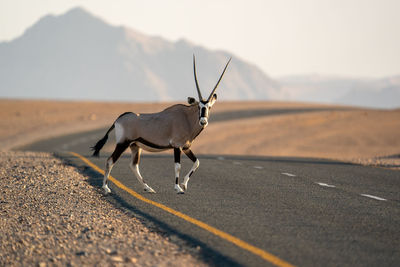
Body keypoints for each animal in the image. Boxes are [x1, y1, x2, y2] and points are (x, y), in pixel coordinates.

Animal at [92, 56, 230, 195]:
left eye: (209, 107)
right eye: (198, 107)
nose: (203, 121)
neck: (187, 118)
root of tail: (118, 118)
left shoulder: (186, 147)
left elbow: (197, 162)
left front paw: (184, 185)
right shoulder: (177, 146)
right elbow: (177, 166)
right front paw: (178, 188)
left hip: (135, 146)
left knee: (133, 165)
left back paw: (148, 188)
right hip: (123, 143)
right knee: (110, 161)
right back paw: (106, 187)